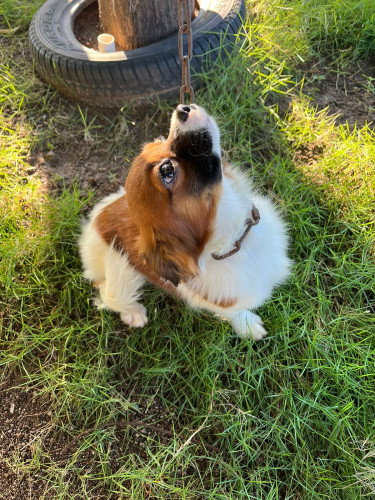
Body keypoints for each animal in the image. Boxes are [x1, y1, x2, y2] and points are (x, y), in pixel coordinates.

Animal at [78, 105, 290, 340]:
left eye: (160, 141)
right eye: (167, 171)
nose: (182, 109)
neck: (237, 241)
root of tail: (94, 221)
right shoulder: (220, 300)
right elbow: (235, 312)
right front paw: (247, 325)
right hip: (121, 271)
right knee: (107, 293)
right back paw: (133, 313)